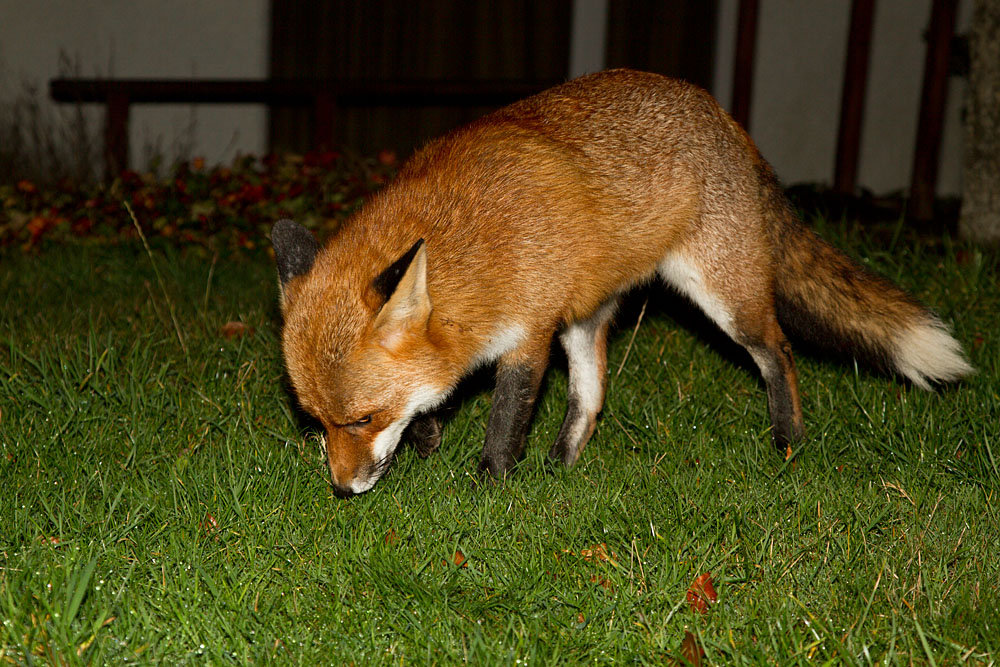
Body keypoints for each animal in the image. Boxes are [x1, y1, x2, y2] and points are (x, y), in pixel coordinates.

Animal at [271, 68, 972, 497]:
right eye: (319, 421)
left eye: (362, 418)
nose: (342, 488)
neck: (476, 245)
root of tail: (719, 112)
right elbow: (429, 396)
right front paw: (432, 436)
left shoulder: (529, 332)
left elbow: (503, 421)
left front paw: (489, 488)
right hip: (586, 322)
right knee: (591, 396)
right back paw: (559, 468)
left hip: (723, 297)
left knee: (779, 349)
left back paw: (788, 440)